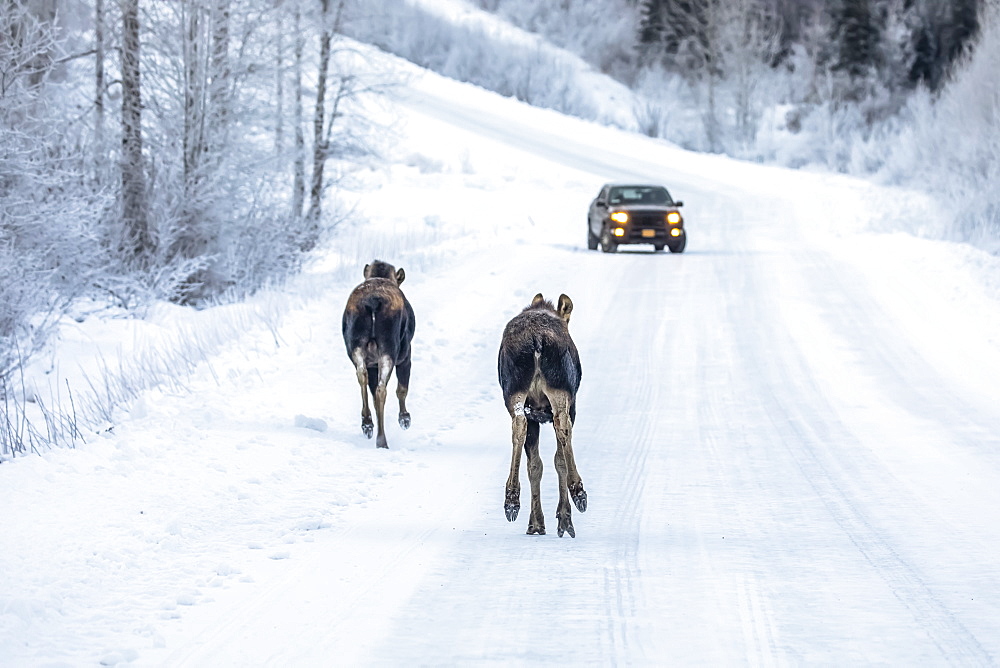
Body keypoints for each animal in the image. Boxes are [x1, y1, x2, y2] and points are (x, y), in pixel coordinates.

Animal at [344, 260, 414, 448]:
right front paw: (405, 418)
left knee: (362, 375)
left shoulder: (372, 362)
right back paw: (382, 440)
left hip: (357, 345)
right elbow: (402, 388)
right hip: (390, 347)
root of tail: (373, 302)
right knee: (382, 389)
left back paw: (367, 424)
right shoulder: (406, 355)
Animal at [498, 292, 584, 536]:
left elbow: (535, 465)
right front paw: (563, 518)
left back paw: (511, 500)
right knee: (563, 427)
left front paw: (536, 522)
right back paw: (578, 492)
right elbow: (557, 460)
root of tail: (536, 340)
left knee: (519, 426)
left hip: (515, 390)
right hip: (561, 389)